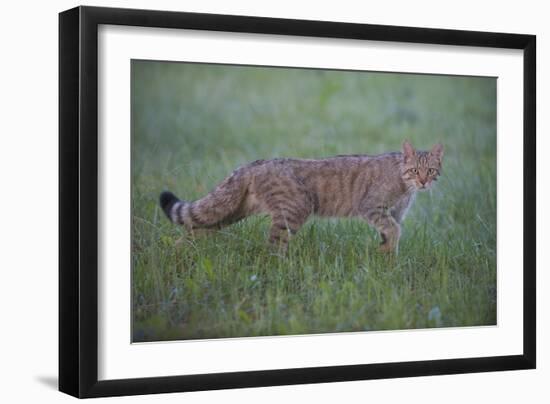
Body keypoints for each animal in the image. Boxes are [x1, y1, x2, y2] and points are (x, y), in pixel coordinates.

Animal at [160, 140, 444, 251]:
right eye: (415, 170)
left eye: (431, 170)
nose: (423, 182)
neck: (404, 186)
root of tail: (253, 164)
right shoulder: (372, 208)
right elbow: (394, 230)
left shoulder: (393, 213)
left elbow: (388, 235)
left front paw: (385, 259)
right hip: (294, 211)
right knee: (273, 247)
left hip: (230, 211)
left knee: (194, 228)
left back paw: (175, 253)